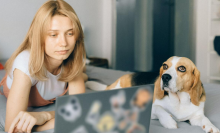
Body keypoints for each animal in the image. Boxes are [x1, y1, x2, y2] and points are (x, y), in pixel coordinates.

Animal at [85, 56, 219, 133]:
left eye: (182, 68)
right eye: (165, 66)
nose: (165, 77)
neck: (178, 100)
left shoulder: (196, 117)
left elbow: (205, 119)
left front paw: (213, 127)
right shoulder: (153, 108)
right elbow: (160, 108)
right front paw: (169, 122)